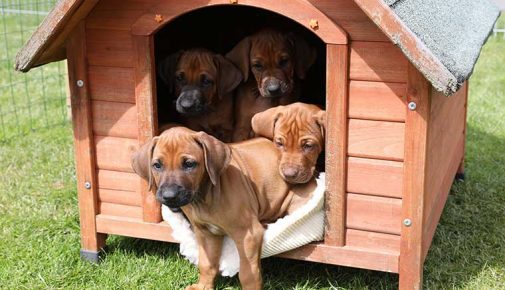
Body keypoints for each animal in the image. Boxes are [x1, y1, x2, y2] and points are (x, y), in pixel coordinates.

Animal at [130, 127, 314, 290]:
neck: (203, 198)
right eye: (157, 165)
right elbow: (206, 264)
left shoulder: (248, 234)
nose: (169, 196)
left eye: (189, 164)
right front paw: (203, 286)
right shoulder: (205, 233)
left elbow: (248, 273)